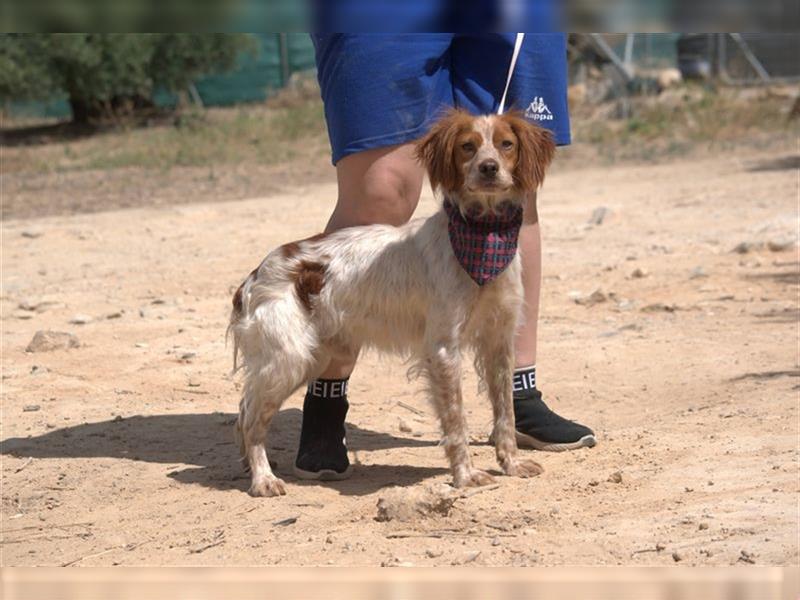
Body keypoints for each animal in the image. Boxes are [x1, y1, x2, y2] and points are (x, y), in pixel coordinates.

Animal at [230, 110, 556, 500]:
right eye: (468, 146)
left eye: (506, 144)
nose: (489, 167)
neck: (483, 236)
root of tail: (256, 274)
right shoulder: (443, 348)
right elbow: (456, 420)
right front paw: (465, 475)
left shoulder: (499, 342)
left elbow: (505, 412)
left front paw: (512, 464)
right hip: (290, 358)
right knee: (251, 419)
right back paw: (262, 479)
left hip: (310, 354)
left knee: (244, 408)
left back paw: (252, 467)